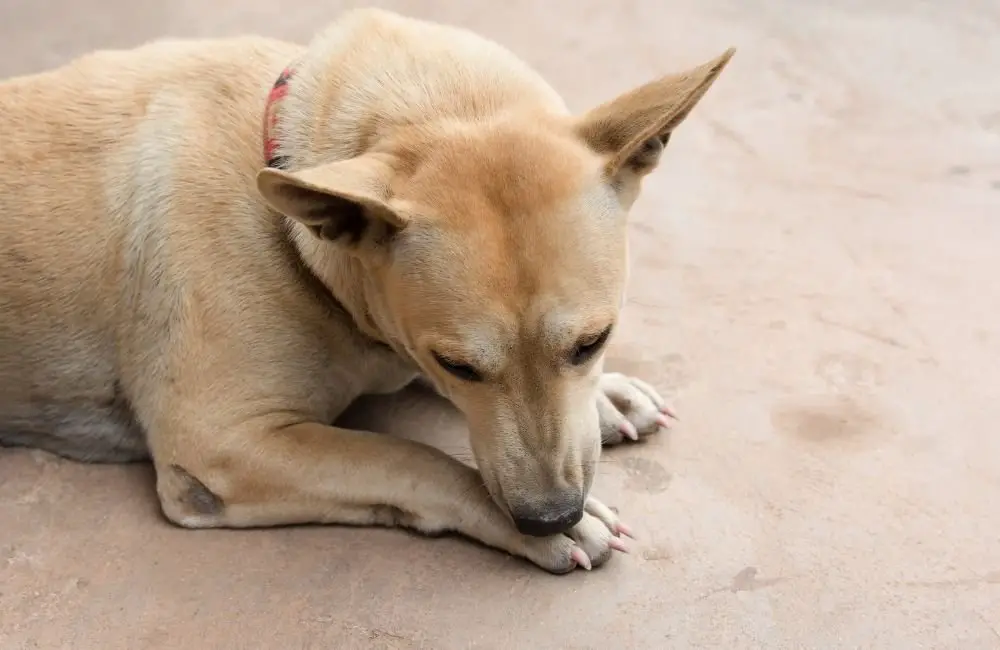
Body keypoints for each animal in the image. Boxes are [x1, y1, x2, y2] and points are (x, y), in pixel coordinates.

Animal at [1, 7, 736, 568]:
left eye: (594, 341)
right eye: (458, 364)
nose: (550, 516)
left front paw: (606, 397)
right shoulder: (221, 445)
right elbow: (409, 458)